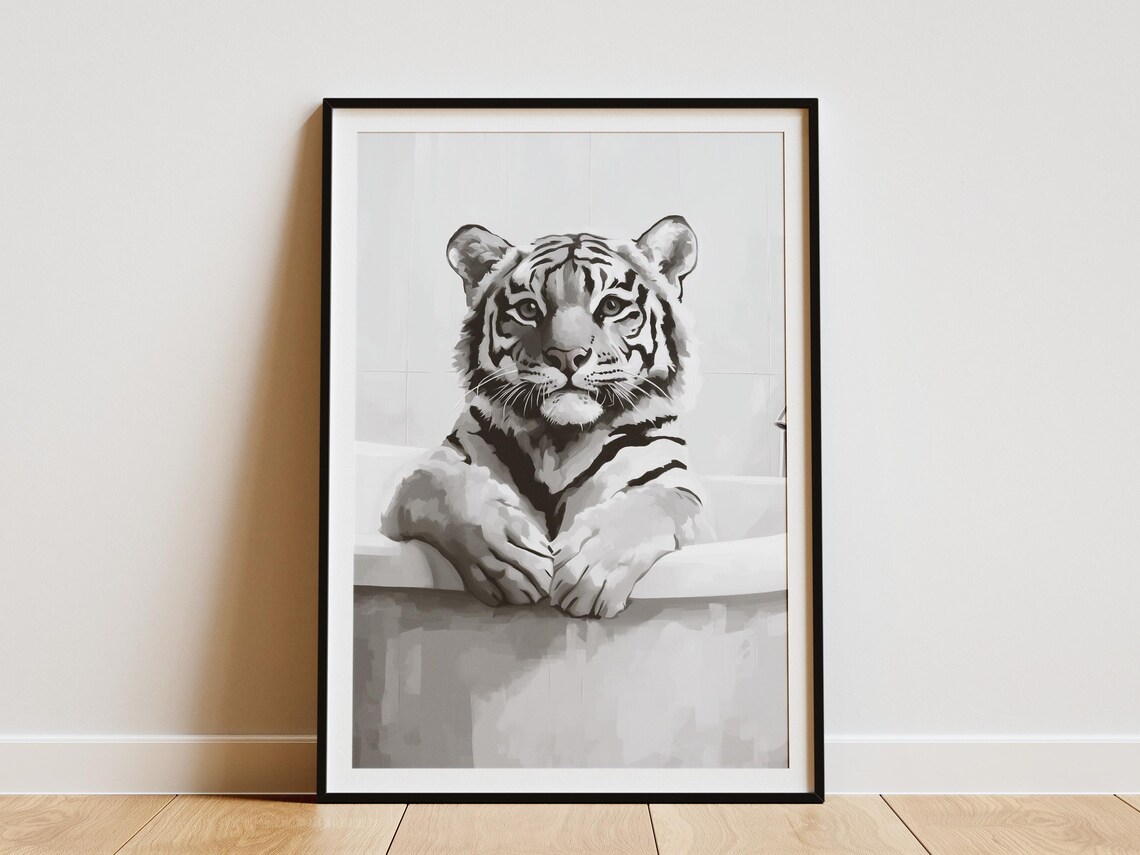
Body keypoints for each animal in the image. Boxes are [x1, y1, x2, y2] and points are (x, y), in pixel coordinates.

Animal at [381, 215, 712, 618]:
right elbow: (436, 482)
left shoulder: (674, 483)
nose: (567, 356)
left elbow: (651, 504)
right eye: (528, 309)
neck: (559, 440)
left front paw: (590, 567)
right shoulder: (425, 476)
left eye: (611, 306)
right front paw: (510, 555)